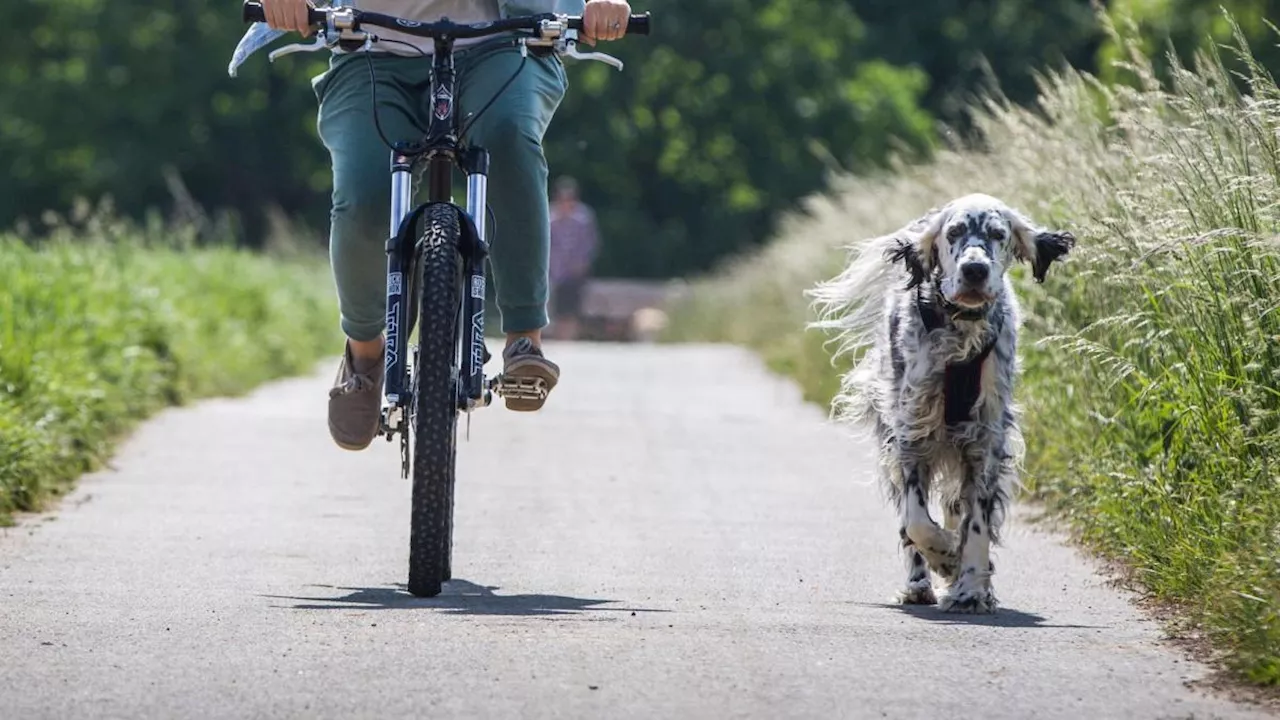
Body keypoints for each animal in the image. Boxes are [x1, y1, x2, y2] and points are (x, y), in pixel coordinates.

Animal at [814, 192, 1075, 609]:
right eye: (954, 233)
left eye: (998, 234)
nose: (974, 270)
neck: (961, 333)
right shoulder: (911, 435)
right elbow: (917, 522)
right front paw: (947, 558)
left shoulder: (985, 440)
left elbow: (977, 520)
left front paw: (970, 587)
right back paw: (920, 583)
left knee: (958, 507)